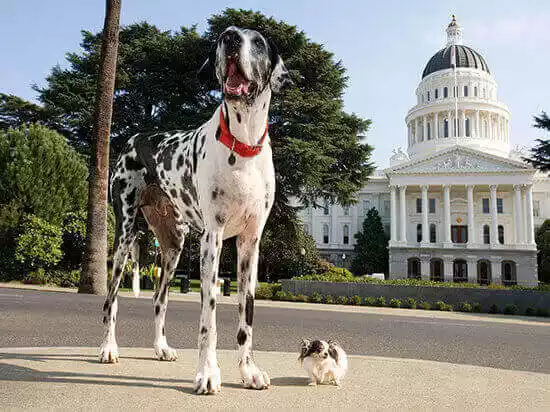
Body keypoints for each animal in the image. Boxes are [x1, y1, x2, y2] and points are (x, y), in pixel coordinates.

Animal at [99, 27, 294, 394]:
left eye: (258, 42)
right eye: (224, 36)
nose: (230, 37)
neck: (243, 145)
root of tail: (134, 136)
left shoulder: (250, 244)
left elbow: (246, 317)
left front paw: (248, 371)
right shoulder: (212, 240)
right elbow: (208, 319)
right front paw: (207, 372)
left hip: (173, 247)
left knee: (159, 299)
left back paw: (161, 348)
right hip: (124, 237)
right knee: (111, 300)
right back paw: (108, 348)